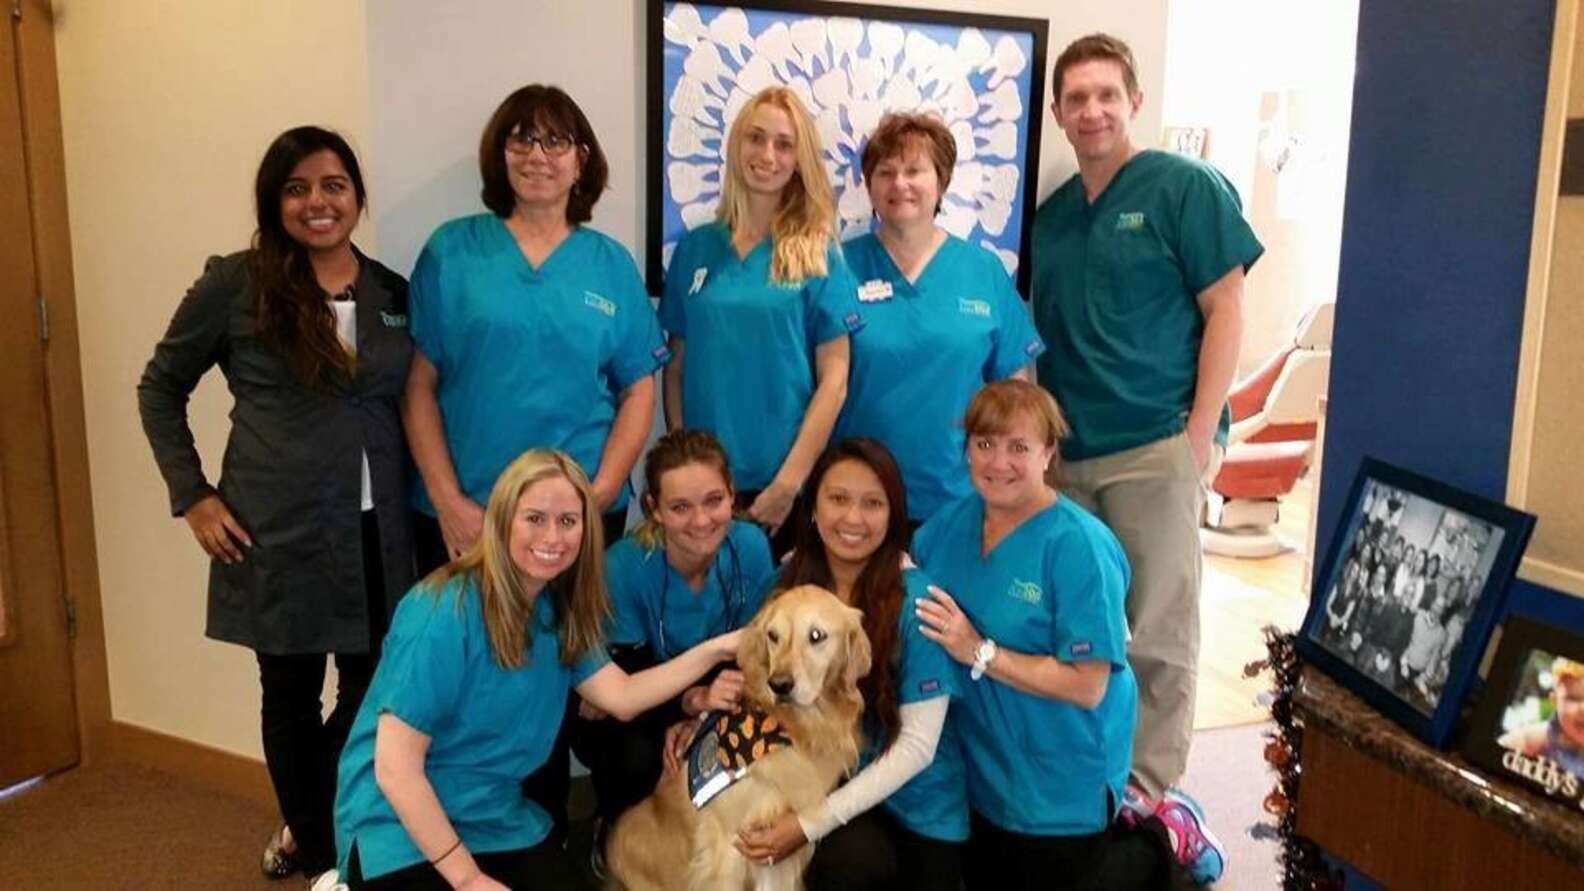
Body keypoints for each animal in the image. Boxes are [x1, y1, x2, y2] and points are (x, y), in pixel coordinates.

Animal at [608, 583, 880, 887]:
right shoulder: (727, 847)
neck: (793, 729)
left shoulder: (778, 851)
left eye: (816, 636)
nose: (779, 685)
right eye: (773, 636)